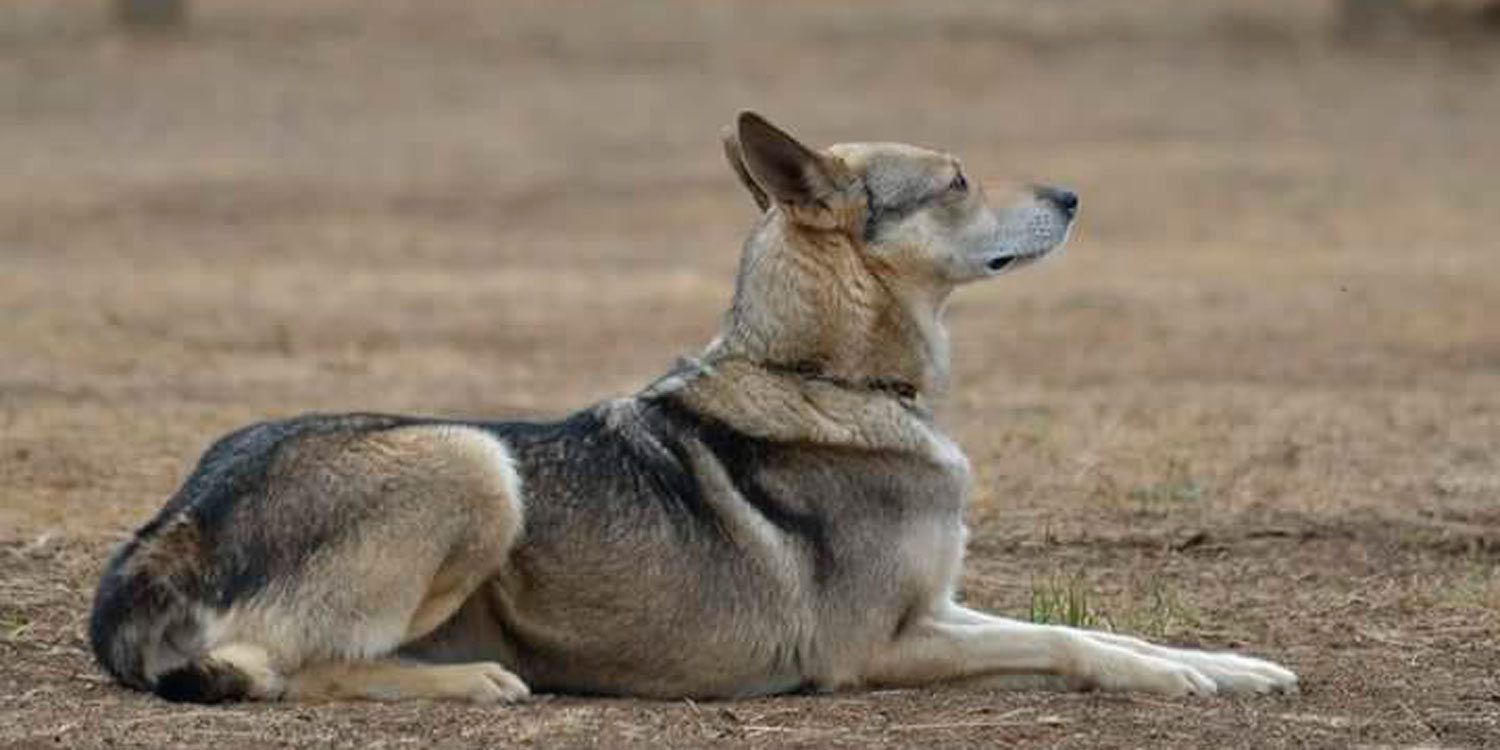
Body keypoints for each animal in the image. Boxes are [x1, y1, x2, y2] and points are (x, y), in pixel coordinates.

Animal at [87, 111, 1296, 702]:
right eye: (956, 180)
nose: (1075, 195)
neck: (827, 380)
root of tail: (165, 528)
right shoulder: (878, 648)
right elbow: (1068, 644)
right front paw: (1182, 677)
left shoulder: (940, 608)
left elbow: (1097, 631)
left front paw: (1224, 666)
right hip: (474, 461)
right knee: (284, 668)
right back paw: (477, 678)